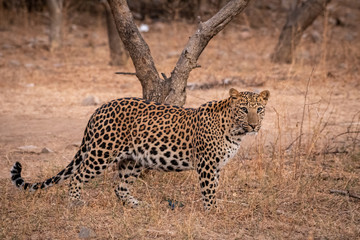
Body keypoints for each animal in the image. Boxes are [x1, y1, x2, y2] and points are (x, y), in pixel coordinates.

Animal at [10, 88, 270, 210]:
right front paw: (212, 211)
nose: (254, 125)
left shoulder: (216, 166)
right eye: (244, 109)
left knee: (119, 187)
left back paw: (137, 205)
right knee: (78, 175)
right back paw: (75, 203)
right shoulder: (206, 165)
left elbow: (214, 188)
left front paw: (214, 208)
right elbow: (208, 190)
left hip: (133, 160)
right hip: (102, 152)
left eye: (259, 109)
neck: (235, 131)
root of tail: (99, 108)